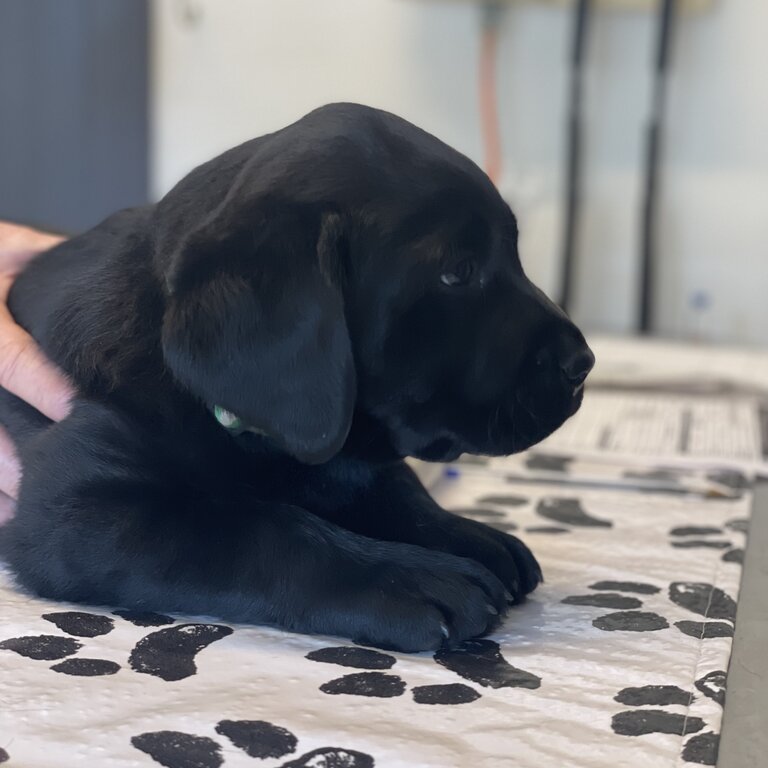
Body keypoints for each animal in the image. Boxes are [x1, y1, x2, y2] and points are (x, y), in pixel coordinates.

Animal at [0, 102, 592, 652]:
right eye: (457, 272)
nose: (582, 363)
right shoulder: (77, 510)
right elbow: (257, 528)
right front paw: (408, 577)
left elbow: (392, 487)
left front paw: (466, 534)